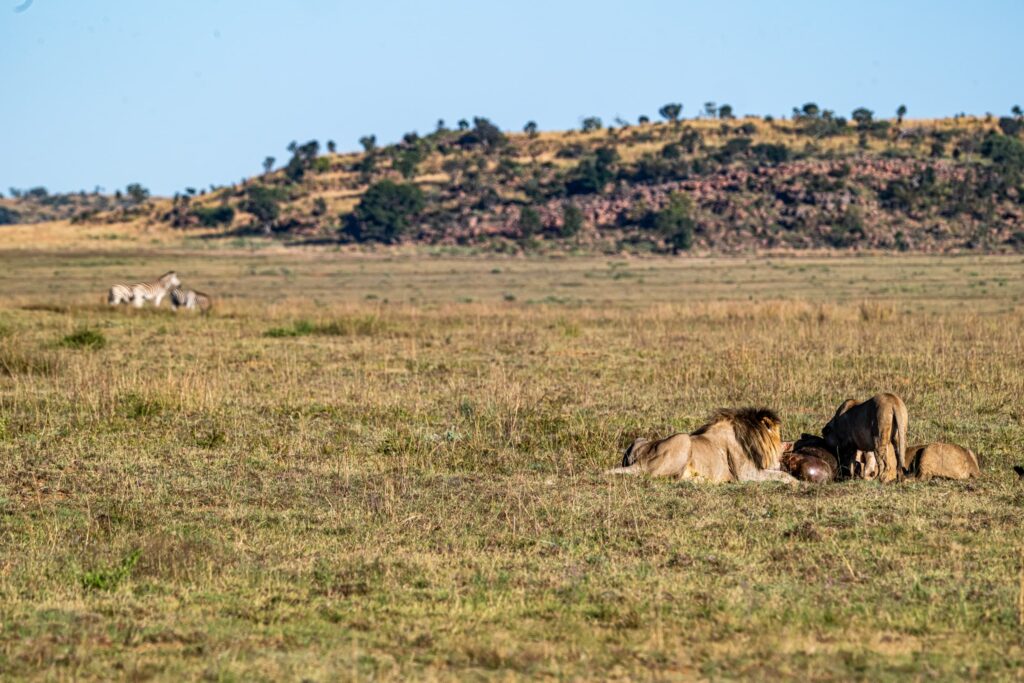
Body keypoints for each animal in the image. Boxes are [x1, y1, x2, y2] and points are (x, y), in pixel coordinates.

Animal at [602, 409, 794, 483]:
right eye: (780, 440)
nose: (789, 445)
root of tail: (640, 461)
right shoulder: (745, 474)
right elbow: (782, 475)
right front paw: (796, 481)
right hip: (682, 439)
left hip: (640, 440)